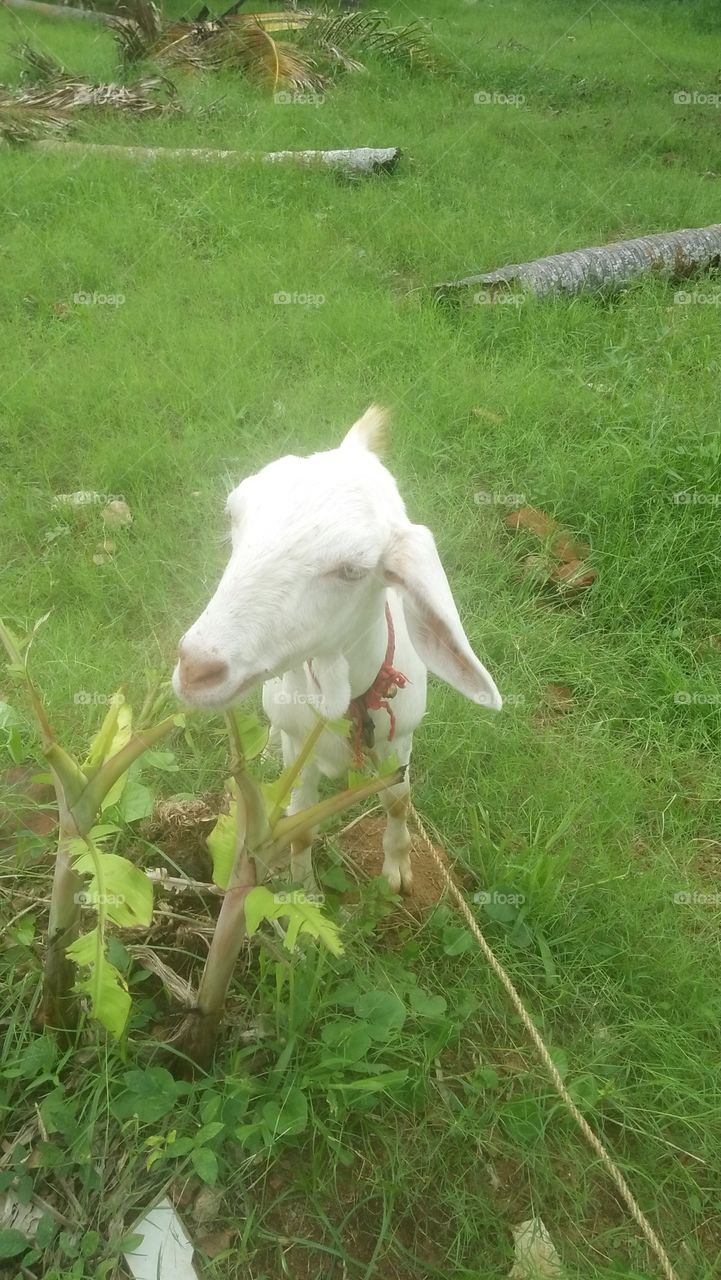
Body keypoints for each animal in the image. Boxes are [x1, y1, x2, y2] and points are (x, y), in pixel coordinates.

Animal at [172, 407, 502, 894]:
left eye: (352, 570)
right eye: (234, 517)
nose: (196, 669)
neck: (346, 697)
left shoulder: (400, 740)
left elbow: (398, 802)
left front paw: (397, 874)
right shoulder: (300, 752)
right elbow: (301, 823)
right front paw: (303, 889)